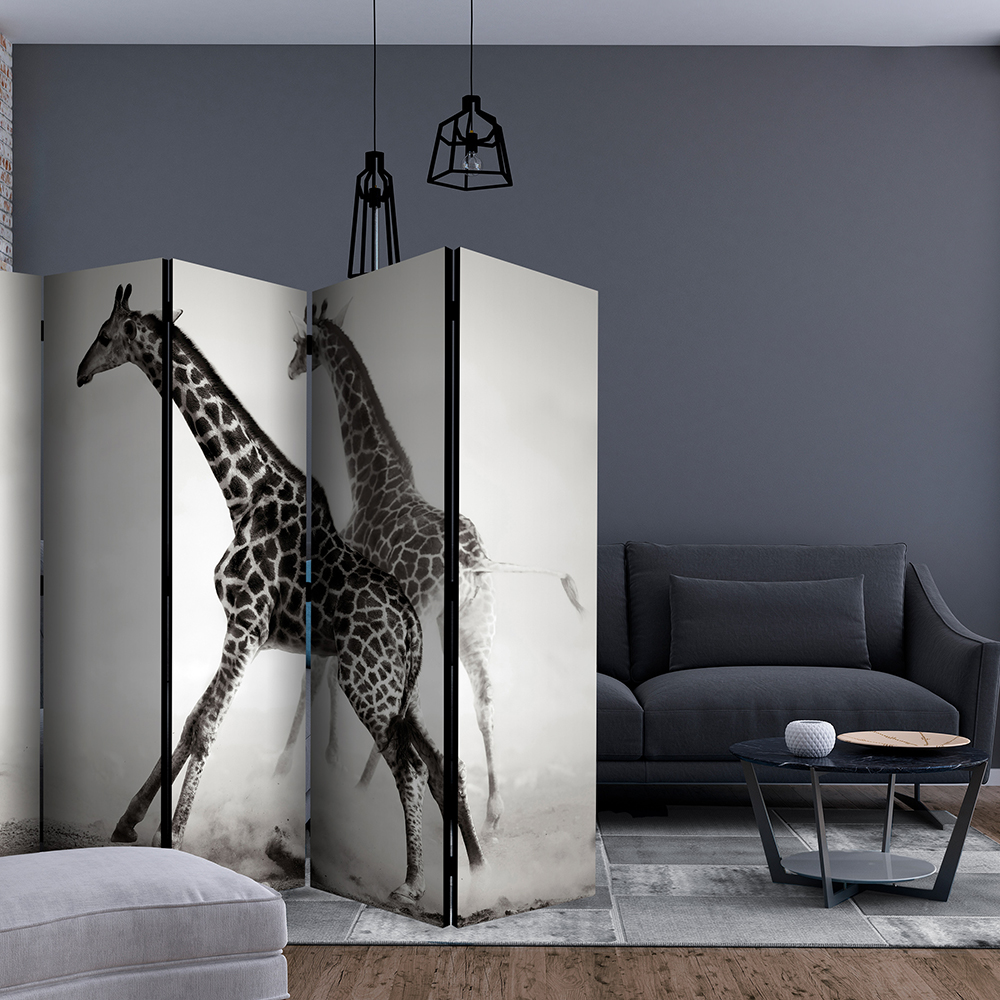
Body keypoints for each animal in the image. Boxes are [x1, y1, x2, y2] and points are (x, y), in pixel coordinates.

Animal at [76, 283, 485, 900]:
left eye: (104, 336)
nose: (79, 373)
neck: (245, 494)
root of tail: (411, 625)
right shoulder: (241, 629)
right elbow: (190, 720)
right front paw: (129, 823)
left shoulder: (246, 624)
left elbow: (206, 727)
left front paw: (170, 839)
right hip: (401, 688)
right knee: (439, 765)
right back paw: (471, 870)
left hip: (366, 681)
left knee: (410, 766)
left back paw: (412, 884)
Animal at [279, 299, 584, 834]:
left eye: (301, 342)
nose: (291, 368)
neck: (370, 479)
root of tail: (476, 557)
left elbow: (319, 677)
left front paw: (300, 763)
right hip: (473, 622)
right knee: (484, 700)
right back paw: (492, 813)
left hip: (426, 615)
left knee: (413, 701)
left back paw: (370, 787)